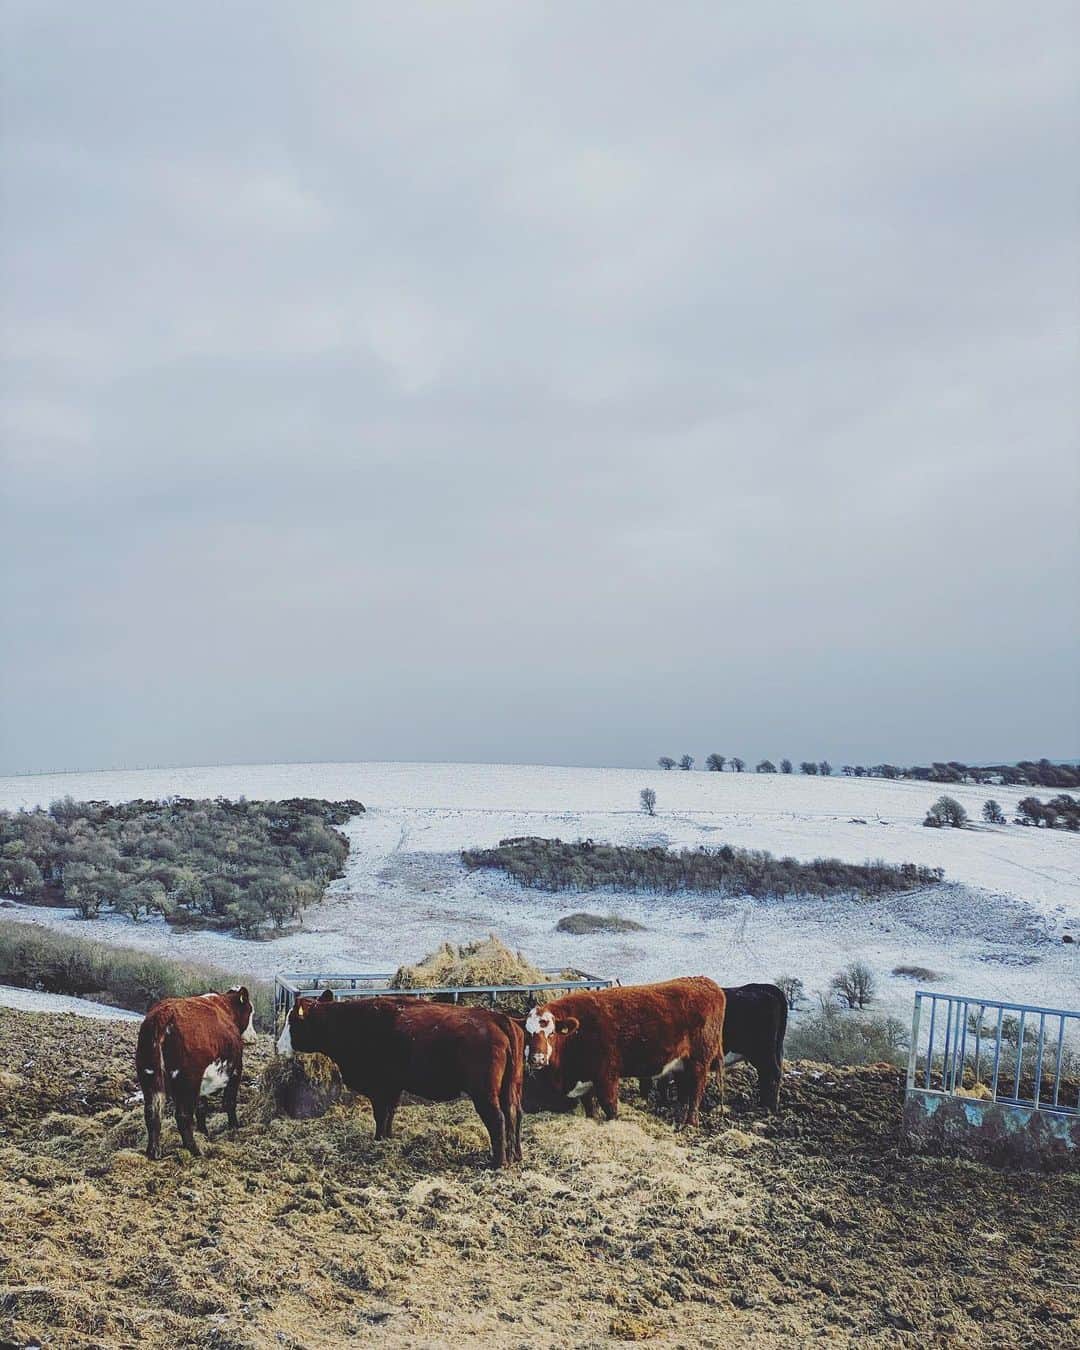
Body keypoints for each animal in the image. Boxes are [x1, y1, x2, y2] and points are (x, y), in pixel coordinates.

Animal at [135, 986, 257, 1159]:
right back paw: (196, 1150)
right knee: (183, 1116)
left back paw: (154, 1152)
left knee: (152, 1113)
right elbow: (230, 1102)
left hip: (149, 1078)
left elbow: (202, 1107)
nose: (254, 1037)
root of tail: (164, 1012)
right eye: (251, 1011)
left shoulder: (203, 1081)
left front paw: (203, 1132)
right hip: (188, 1082)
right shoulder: (236, 1070)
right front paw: (234, 1127)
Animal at [276, 991, 524, 1168]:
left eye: (291, 1022)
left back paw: (498, 1162)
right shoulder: (393, 1087)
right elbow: (390, 1113)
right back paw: (516, 1156)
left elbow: (380, 1114)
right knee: (515, 1114)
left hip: (484, 1093)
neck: (352, 1022)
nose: (278, 1047)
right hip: (511, 1089)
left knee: (497, 1119)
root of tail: (496, 1017)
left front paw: (377, 1140)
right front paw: (387, 1138)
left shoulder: (379, 1087)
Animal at [523, 976, 726, 1126]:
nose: (538, 1059)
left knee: (696, 1091)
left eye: (551, 1034)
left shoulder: (607, 1075)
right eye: (527, 1033)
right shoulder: (586, 1079)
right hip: (682, 1063)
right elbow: (590, 1107)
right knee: (684, 1091)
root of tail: (708, 983)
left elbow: (610, 1106)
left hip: (700, 1060)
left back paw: (690, 1123)